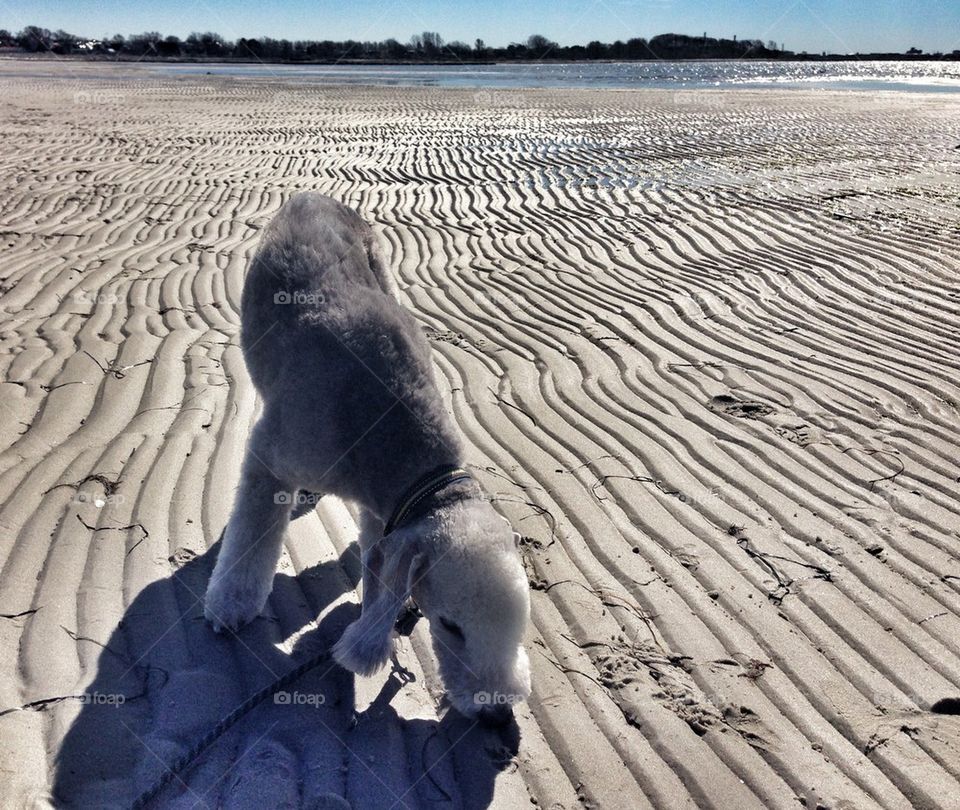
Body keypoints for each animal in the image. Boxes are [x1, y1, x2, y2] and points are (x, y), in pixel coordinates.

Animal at [204, 193, 532, 724]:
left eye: (519, 624)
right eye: (450, 626)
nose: (497, 714)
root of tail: (312, 196)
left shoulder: (388, 508)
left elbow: (375, 548)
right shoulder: (269, 455)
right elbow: (251, 534)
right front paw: (231, 603)